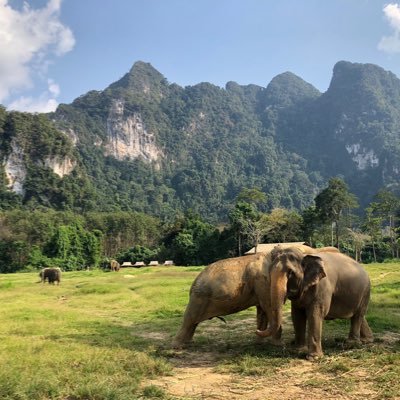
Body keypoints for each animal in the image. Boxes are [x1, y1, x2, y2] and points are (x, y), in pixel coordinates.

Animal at [172, 242, 334, 348]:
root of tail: (194, 283)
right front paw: (277, 345)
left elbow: (262, 310)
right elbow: (268, 307)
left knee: (192, 322)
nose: (256, 331)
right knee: (189, 319)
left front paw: (259, 342)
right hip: (198, 298)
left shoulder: (260, 286)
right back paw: (177, 347)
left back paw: (186, 344)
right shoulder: (262, 282)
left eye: (291, 273)